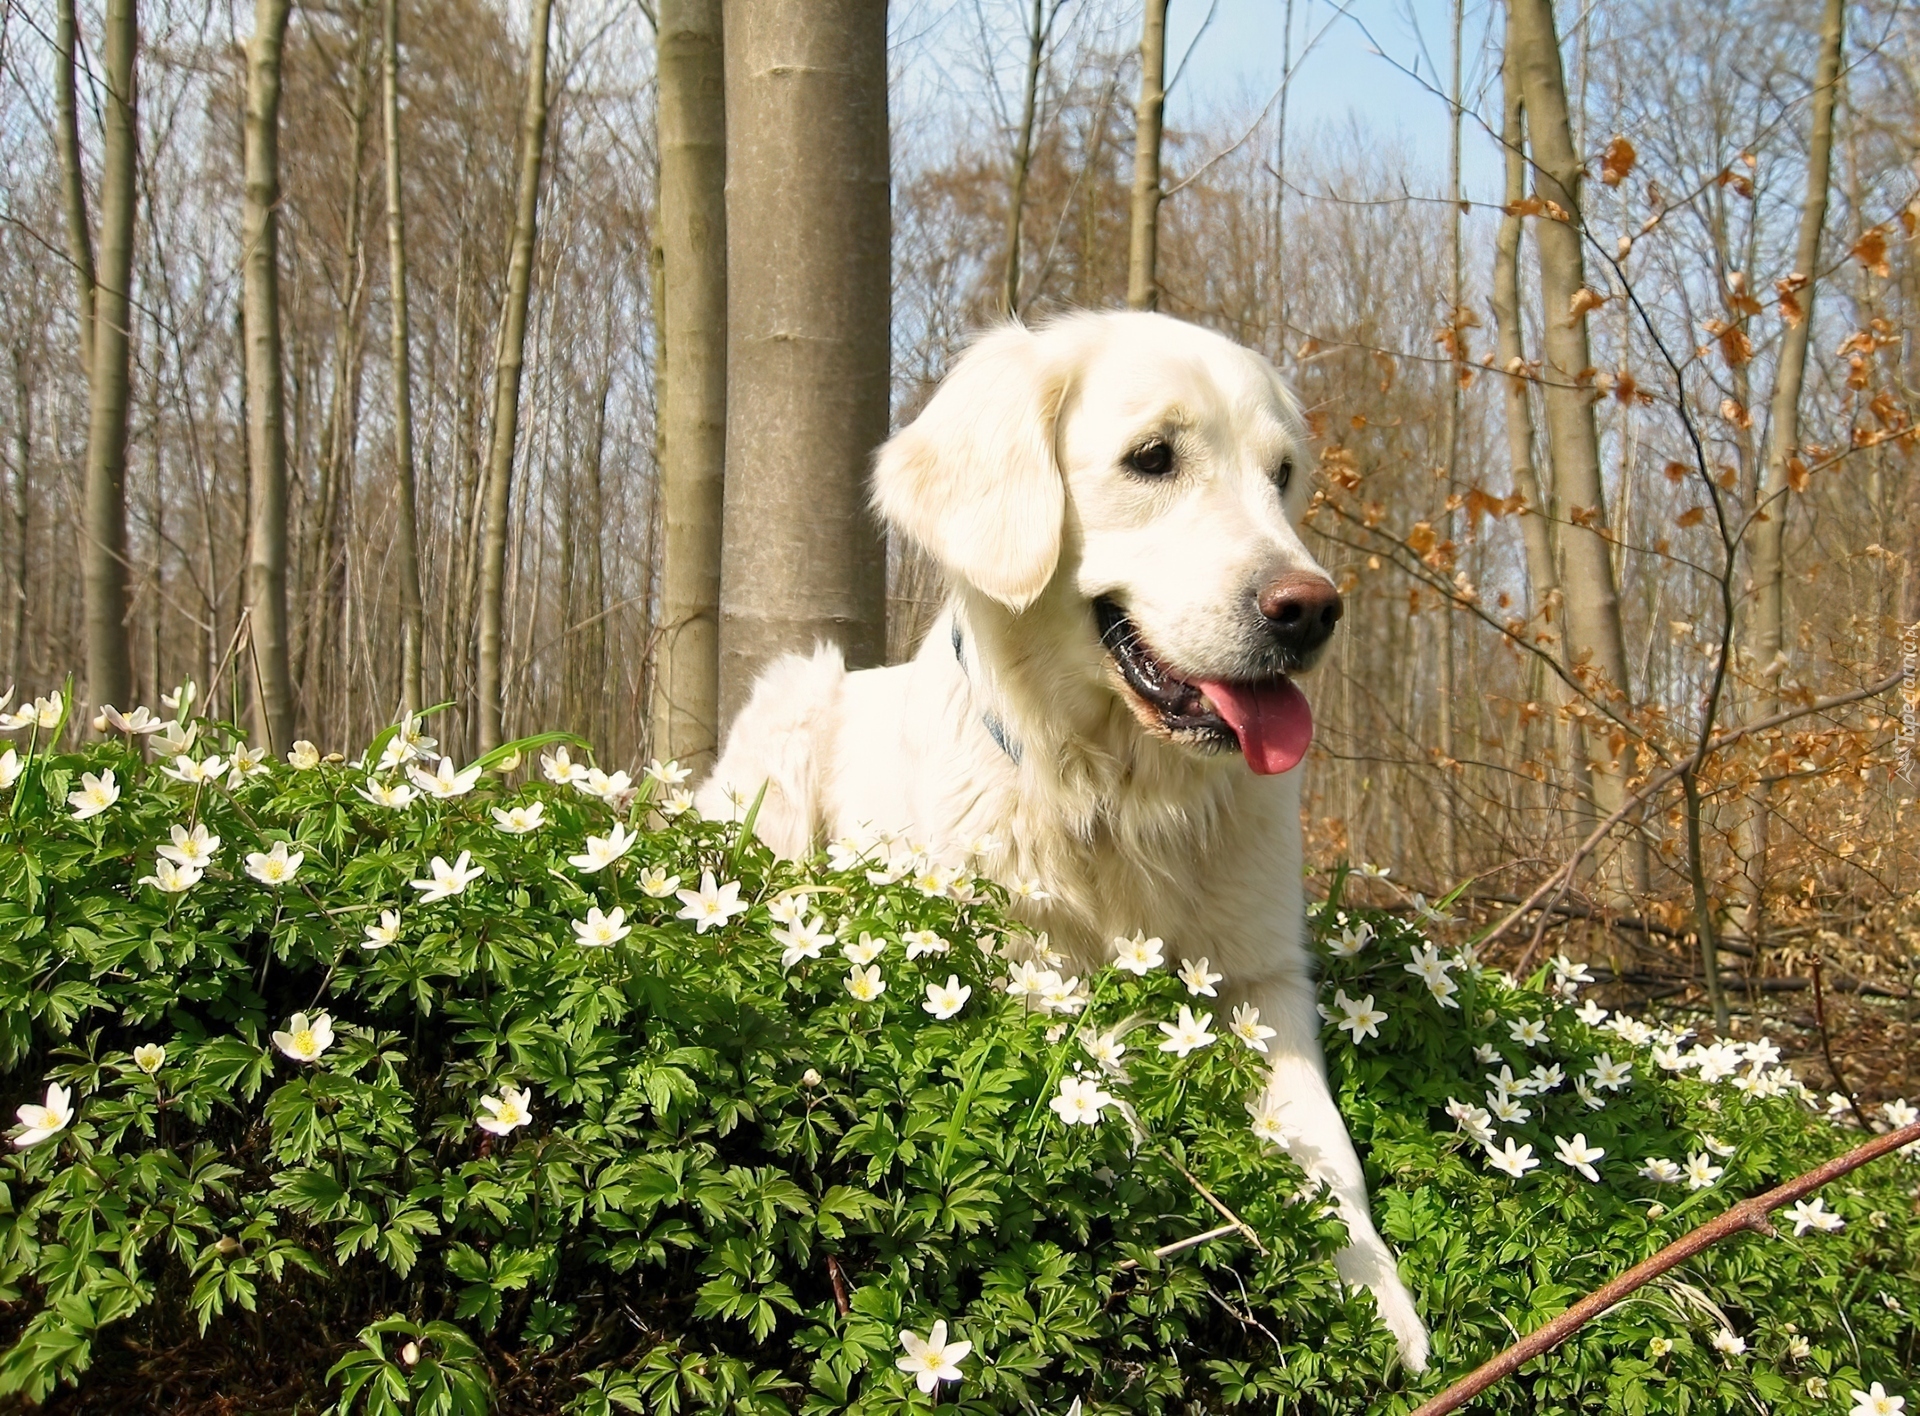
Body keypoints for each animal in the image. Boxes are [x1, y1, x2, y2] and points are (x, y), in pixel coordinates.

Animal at [702, 310, 1428, 1366]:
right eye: (1152, 458)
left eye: (1283, 474)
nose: (1312, 611)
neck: (1123, 794)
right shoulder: (1005, 955)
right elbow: (1109, 1094)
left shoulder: (1265, 980)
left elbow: (1330, 1152)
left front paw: (1379, 1296)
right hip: (796, 702)